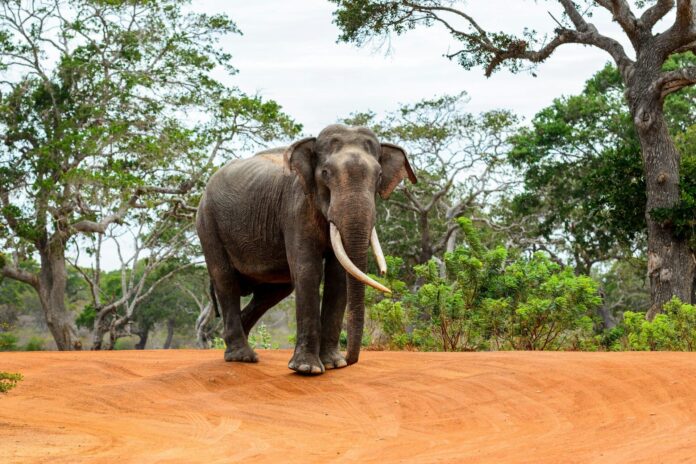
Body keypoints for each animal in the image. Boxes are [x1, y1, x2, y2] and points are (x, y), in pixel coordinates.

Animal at [196, 123, 416, 374]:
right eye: (326, 173)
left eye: (379, 176)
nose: (350, 359)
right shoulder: (296, 208)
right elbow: (308, 270)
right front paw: (307, 369)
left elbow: (338, 275)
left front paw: (333, 364)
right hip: (207, 223)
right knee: (225, 279)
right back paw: (242, 357)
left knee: (275, 291)